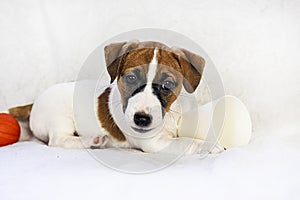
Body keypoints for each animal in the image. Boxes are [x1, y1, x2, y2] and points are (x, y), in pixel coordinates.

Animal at [8, 39, 223, 154]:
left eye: (167, 85)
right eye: (131, 78)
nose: (141, 119)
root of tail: (33, 103)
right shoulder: (154, 143)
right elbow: (187, 141)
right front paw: (209, 146)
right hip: (60, 118)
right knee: (58, 140)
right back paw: (93, 141)